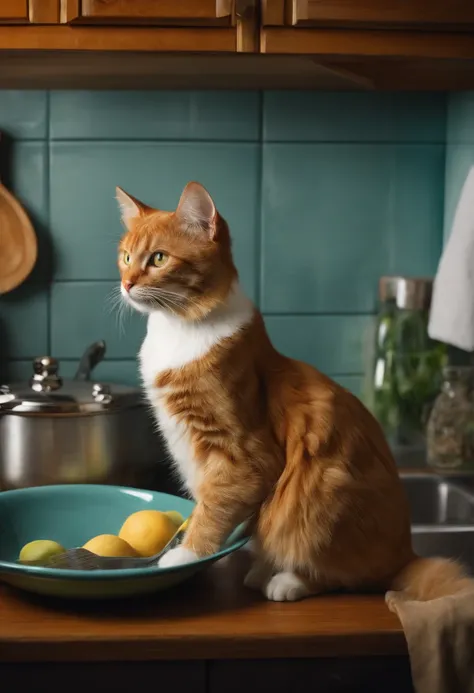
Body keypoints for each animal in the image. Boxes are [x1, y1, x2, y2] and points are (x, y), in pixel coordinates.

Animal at [117, 182, 470, 600]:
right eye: (125, 257)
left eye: (158, 258)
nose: (126, 283)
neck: (177, 329)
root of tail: (405, 552)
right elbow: (207, 505)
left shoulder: (243, 457)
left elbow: (212, 509)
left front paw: (188, 553)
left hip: (325, 489)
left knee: (346, 574)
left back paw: (286, 580)